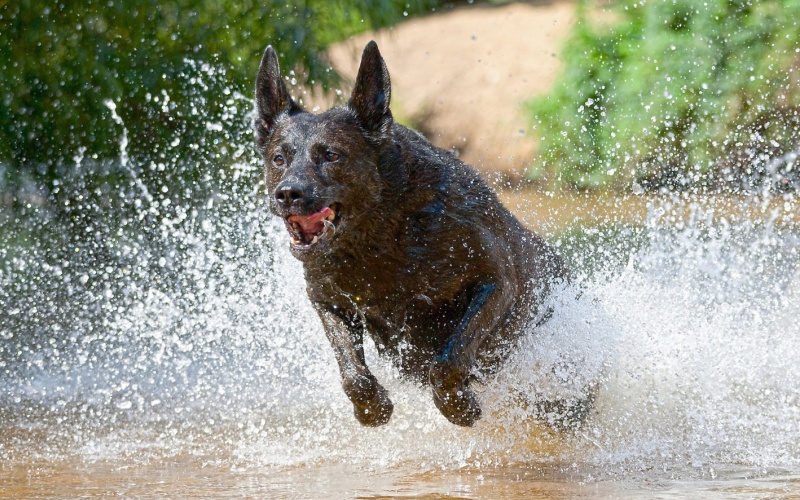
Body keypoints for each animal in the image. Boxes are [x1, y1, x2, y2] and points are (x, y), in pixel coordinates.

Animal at [255, 41, 568, 428]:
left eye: (331, 155)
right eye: (278, 158)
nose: (287, 193)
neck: (377, 235)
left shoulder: (495, 281)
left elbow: (449, 360)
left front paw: (459, 406)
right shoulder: (327, 300)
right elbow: (352, 374)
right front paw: (372, 408)